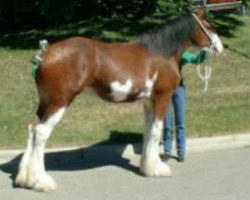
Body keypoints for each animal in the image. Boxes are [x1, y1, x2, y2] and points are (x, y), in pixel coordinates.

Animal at [15, 9, 223, 192]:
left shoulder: (148, 103)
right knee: (41, 132)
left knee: (32, 128)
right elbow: (156, 132)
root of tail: (45, 54)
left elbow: (148, 132)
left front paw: (147, 167)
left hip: (45, 103)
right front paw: (157, 169)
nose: (220, 48)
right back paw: (42, 182)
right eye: (208, 26)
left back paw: (25, 179)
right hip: (59, 102)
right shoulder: (162, 98)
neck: (161, 53)